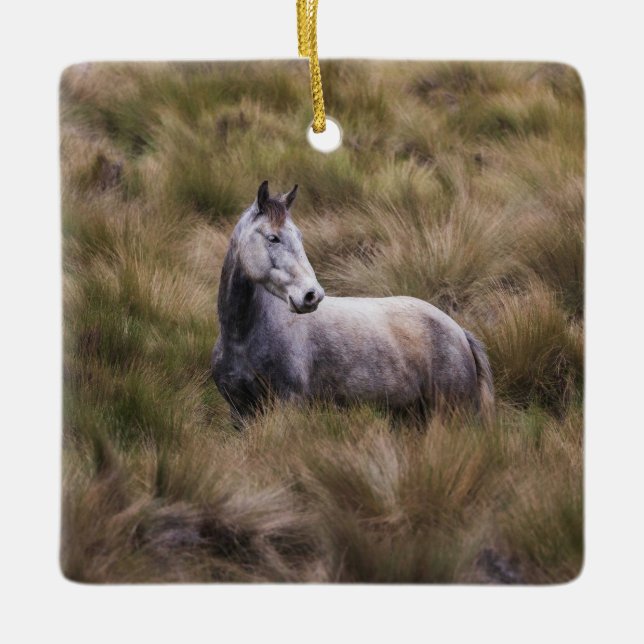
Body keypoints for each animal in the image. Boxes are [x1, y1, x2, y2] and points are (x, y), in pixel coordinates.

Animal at [211, 181, 494, 427]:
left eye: (299, 237)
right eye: (273, 238)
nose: (312, 295)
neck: (242, 337)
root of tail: (458, 331)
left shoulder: (288, 404)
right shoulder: (240, 411)